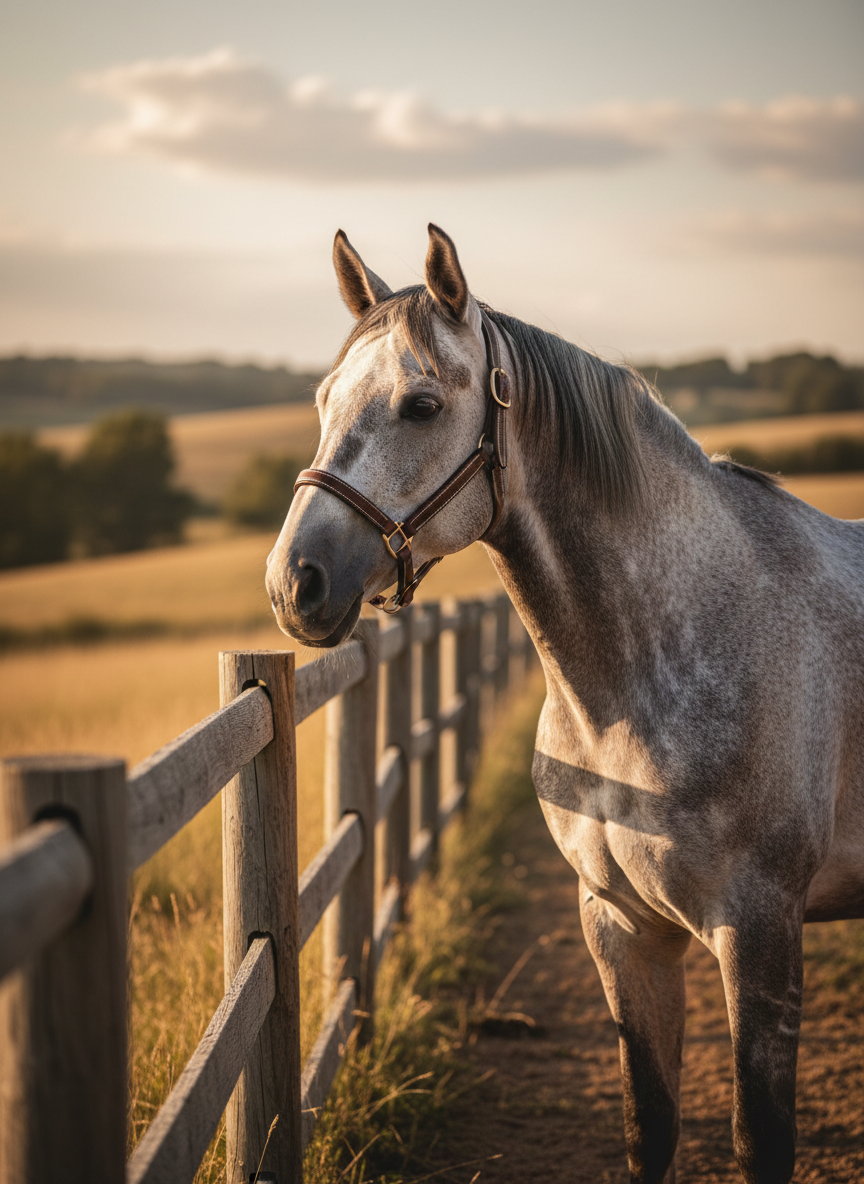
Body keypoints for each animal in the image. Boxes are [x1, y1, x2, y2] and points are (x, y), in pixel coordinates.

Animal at [265, 224, 864, 1184]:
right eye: (325, 398)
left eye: (421, 405)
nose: (295, 583)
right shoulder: (621, 927)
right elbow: (647, 1125)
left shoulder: (761, 932)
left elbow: (759, 1136)